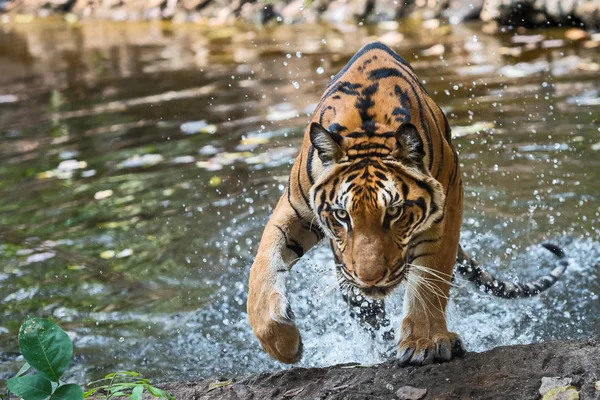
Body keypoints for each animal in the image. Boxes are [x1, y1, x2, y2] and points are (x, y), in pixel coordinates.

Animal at [246, 40, 568, 366]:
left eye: (394, 212)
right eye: (342, 215)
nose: (371, 279)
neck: (367, 129)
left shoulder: (448, 206)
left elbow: (430, 278)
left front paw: (424, 343)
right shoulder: (295, 209)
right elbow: (264, 262)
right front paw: (281, 344)